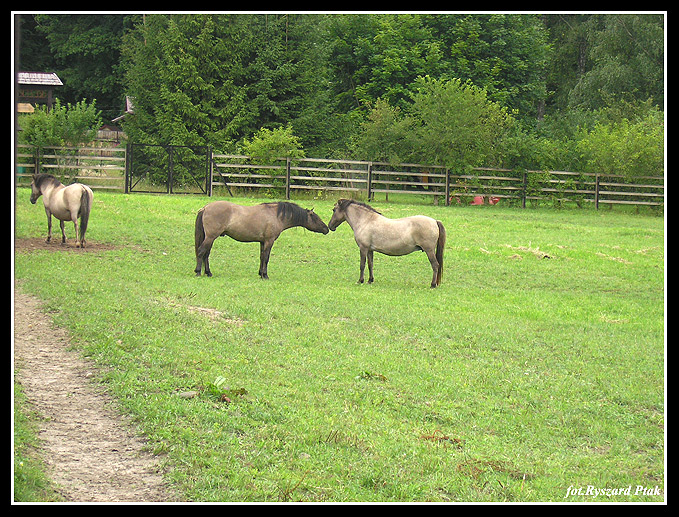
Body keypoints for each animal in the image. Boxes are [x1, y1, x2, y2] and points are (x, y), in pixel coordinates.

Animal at [194, 201, 330, 280]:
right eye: (316, 218)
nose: (326, 228)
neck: (276, 215)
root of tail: (205, 208)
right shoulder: (269, 241)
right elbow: (266, 258)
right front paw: (265, 275)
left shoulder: (262, 242)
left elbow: (261, 257)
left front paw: (260, 273)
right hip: (211, 237)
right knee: (201, 252)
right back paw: (198, 272)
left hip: (210, 238)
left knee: (206, 254)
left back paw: (208, 272)